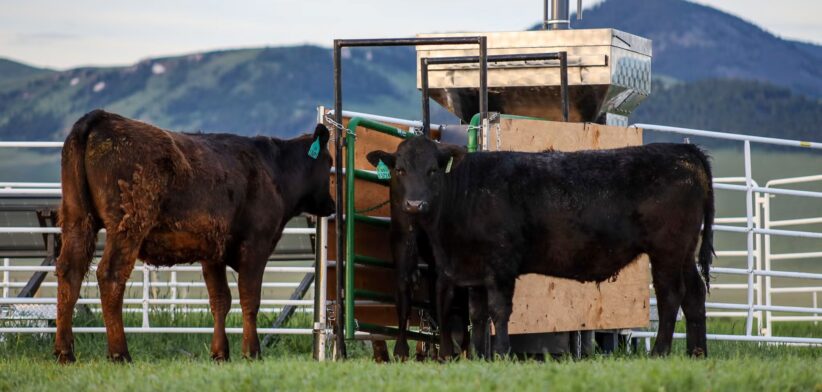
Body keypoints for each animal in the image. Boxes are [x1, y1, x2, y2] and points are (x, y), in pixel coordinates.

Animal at [54, 108, 334, 362]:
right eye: (330, 164)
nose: (332, 205)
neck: (274, 169)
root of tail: (101, 117)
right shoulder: (256, 244)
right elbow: (250, 298)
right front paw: (251, 351)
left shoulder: (213, 253)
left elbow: (220, 299)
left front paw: (220, 353)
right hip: (128, 225)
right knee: (110, 275)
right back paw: (119, 353)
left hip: (77, 219)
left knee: (70, 271)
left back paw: (65, 352)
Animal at [370, 138, 716, 358]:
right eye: (400, 169)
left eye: (432, 170)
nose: (414, 205)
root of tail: (683, 150)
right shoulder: (474, 272)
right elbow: (477, 315)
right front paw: (480, 356)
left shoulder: (500, 265)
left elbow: (499, 311)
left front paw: (502, 353)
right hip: (685, 251)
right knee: (695, 294)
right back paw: (697, 352)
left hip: (667, 250)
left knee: (672, 295)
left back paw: (660, 352)